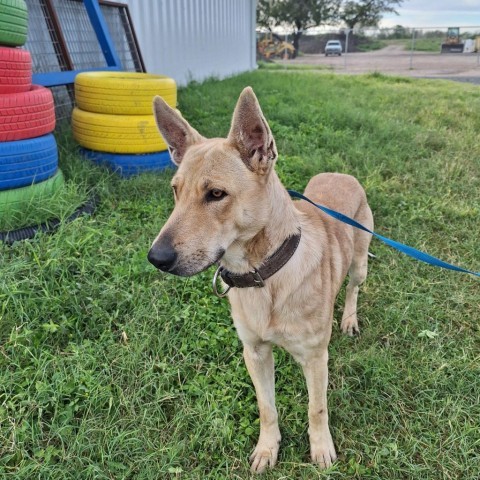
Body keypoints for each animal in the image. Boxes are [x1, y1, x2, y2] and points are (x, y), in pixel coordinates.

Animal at [148, 86, 374, 472]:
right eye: (175, 191)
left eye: (216, 194)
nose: (156, 258)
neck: (264, 275)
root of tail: (342, 174)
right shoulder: (253, 353)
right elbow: (267, 408)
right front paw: (268, 449)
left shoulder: (316, 358)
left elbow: (317, 408)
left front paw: (321, 448)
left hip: (360, 264)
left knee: (353, 290)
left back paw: (348, 318)